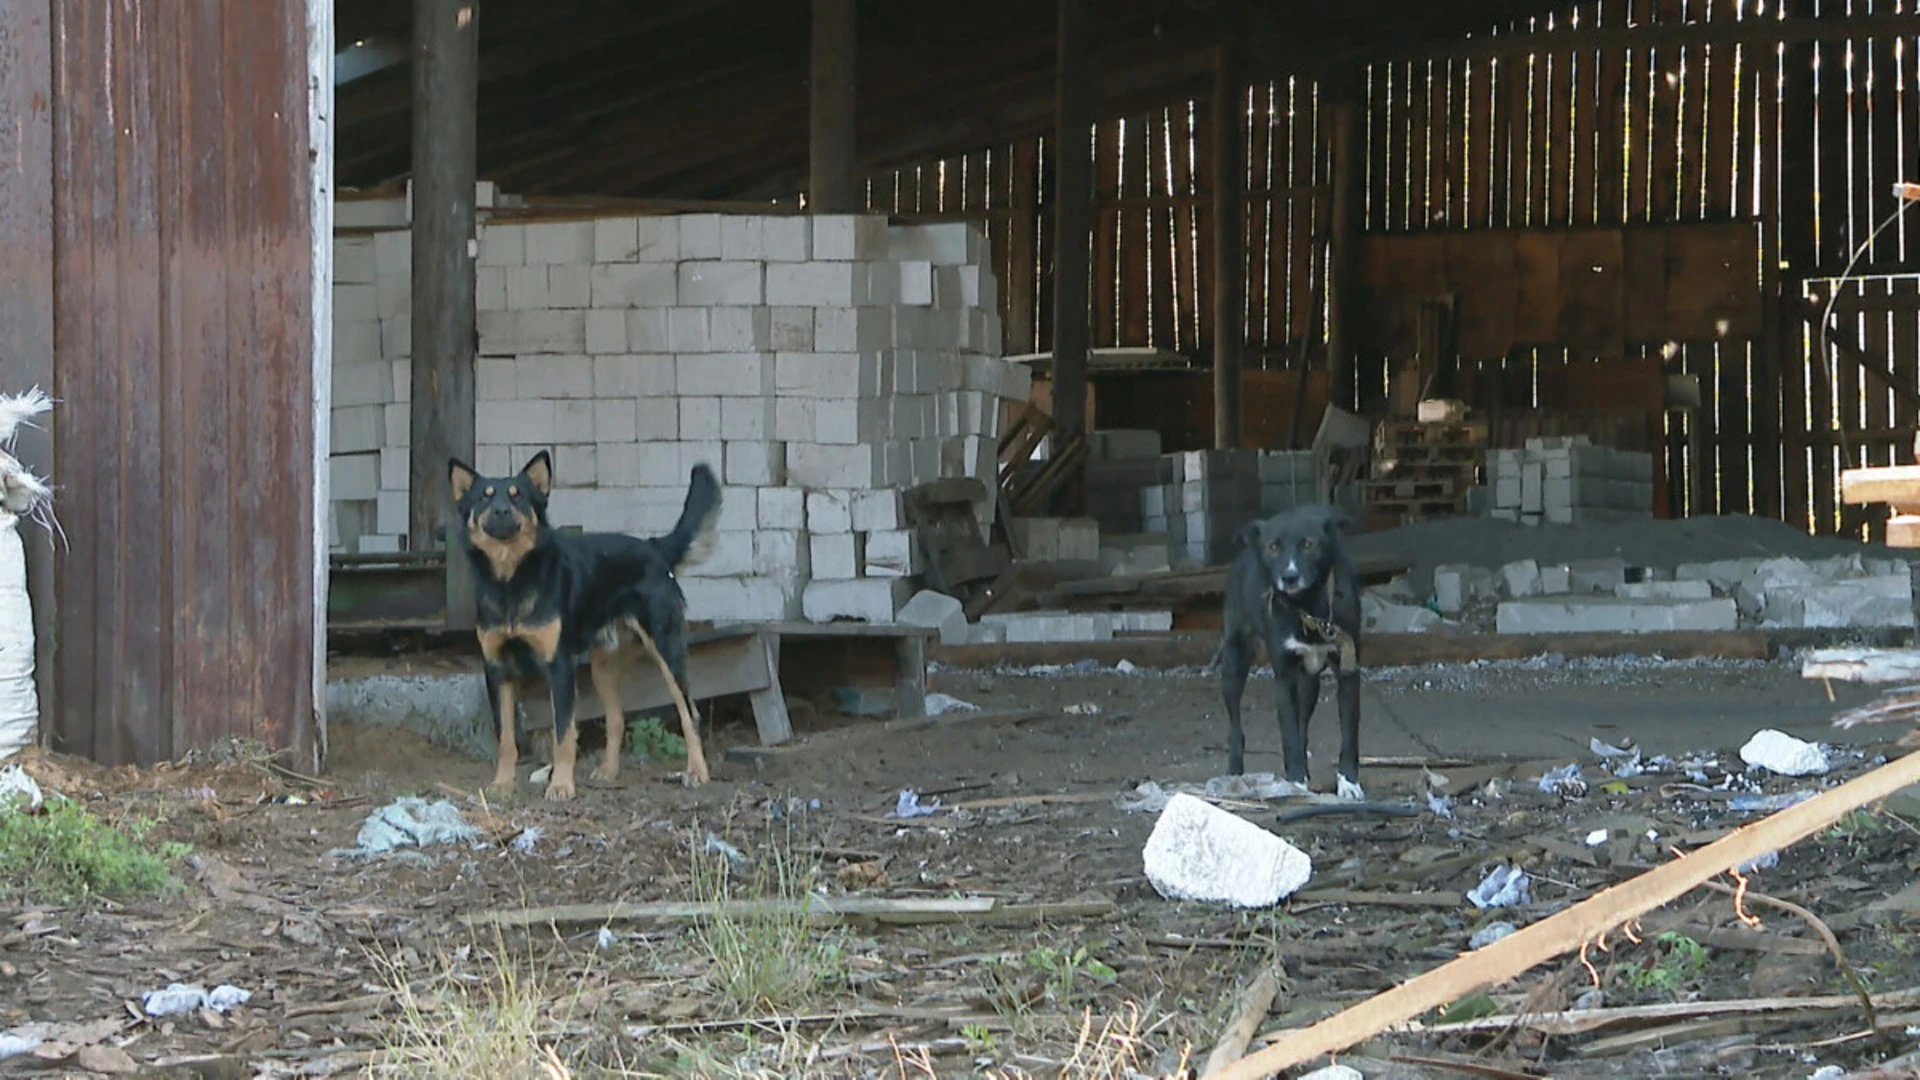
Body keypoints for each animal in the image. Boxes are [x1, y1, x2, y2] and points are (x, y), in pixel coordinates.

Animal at [447, 447, 721, 799]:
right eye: (485, 496)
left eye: (518, 496)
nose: (501, 511)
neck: (511, 579)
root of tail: (653, 547)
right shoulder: (497, 669)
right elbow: (505, 738)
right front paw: (501, 785)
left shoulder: (559, 667)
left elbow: (564, 733)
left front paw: (561, 785)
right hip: (603, 666)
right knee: (616, 718)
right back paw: (608, 771)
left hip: (665, 648)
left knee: (689, 713)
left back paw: (697, 771)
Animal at [1213, 499, 1367, 795]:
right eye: (1274, 547)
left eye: (1308, 544)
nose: (1289, 577)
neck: (1309, 606)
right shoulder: (1283, 676)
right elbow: (1288, 734)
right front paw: (1295, 779)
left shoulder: (1348, 671)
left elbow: (1350, 735)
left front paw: (1348, 781)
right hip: (1235, 661)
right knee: (1235, 723)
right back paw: (1235, 769)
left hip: (1309, 683)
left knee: (1302, 723)